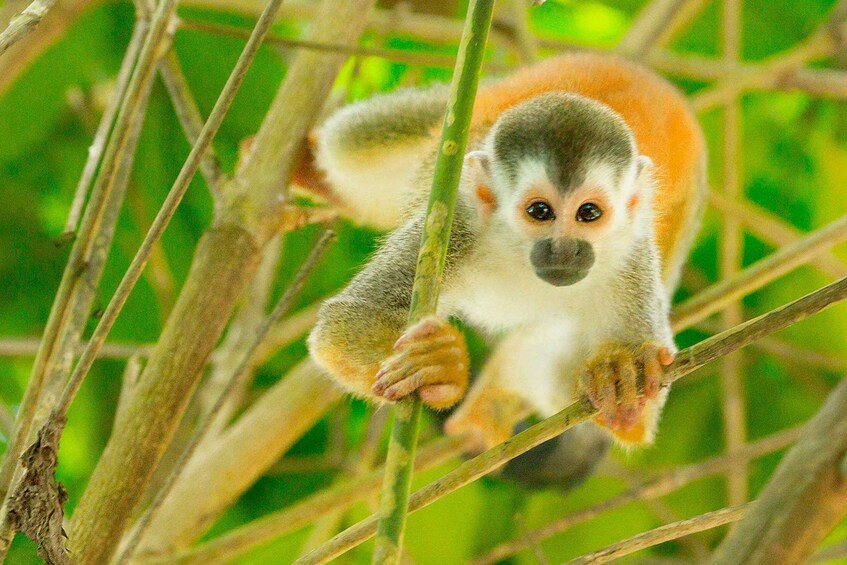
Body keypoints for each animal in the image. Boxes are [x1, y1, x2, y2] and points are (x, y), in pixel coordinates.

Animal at [308, 51, 704, 480]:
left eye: (589, 213)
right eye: (539, 211)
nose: (564, 252)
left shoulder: (633, 254)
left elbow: (625, 417)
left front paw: (620, 380)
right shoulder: (455, 223)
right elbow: (347, 321)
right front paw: (440, 369)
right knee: (349, 143)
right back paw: (310, 166)